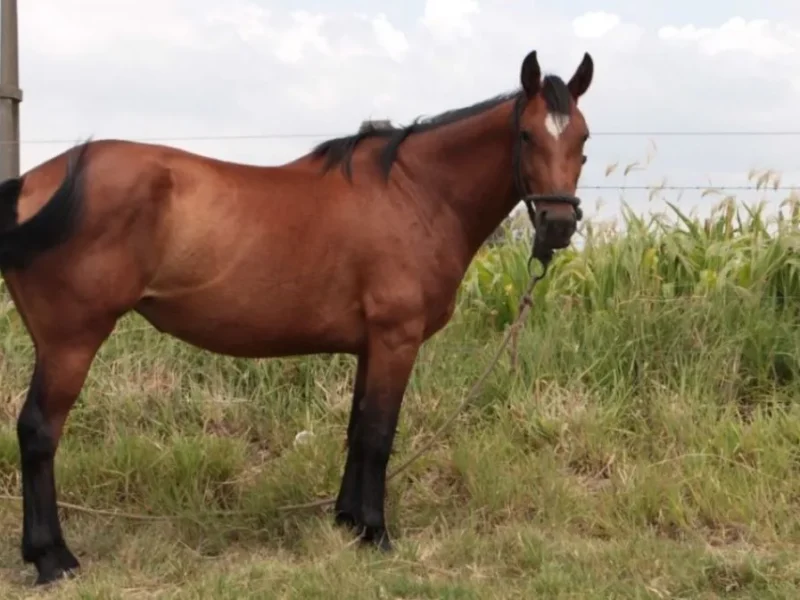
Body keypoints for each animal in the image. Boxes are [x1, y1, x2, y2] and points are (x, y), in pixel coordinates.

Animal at [0, 49, 593, 585]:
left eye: (583, 140)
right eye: (526, 136)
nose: (559, 224)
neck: (415, 193)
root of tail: (36, 183)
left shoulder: (370, 346)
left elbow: (357, 430)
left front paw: (349, 522)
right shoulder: (396, 339)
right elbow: (379, 434)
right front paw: (376, 533)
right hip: (71, 341)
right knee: (39, 431)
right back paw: (53, 559)